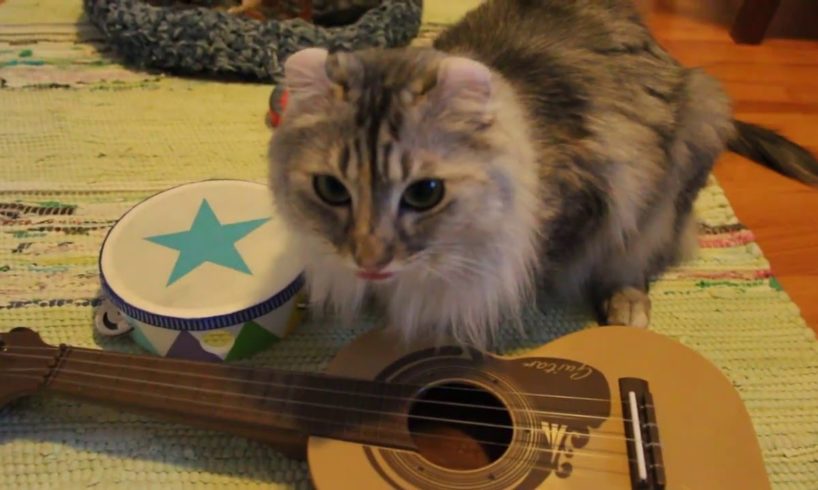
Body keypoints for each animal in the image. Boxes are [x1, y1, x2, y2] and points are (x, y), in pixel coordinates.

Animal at [268, 0, 816, 348]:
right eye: (331, 189)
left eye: (425, 193)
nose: (368, 258)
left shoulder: (587, 204)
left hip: (688, 141)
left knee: (639, 251)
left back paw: (626, 306)